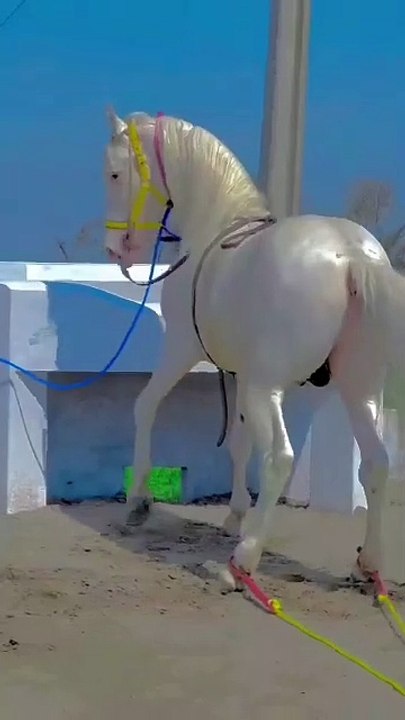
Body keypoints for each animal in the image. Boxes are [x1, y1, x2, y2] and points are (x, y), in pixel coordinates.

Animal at [103, 108, 403, 588]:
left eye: (115, 173)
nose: (114, 249)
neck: (213, 224)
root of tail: (352, 255)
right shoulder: (238, 374)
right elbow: (239, 442)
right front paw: (235, 514)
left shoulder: (181, 349)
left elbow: (145, 406)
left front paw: (138, 501)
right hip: (359, 389)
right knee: (375, 462)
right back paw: (367, 564)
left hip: (271, 389)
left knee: (281, 457)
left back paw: (243, 560)